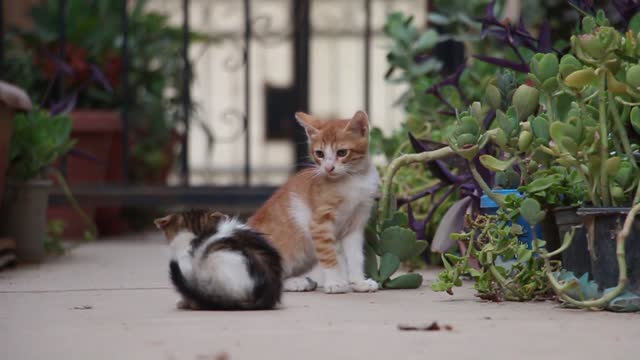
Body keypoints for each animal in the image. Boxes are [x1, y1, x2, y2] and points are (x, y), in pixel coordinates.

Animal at [249, 111, 380, 294]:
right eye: (320, 154)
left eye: (342, 152)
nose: (328, 168)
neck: (353, 180)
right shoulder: (320, 223)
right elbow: (329, 255)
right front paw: (335, 282)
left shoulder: (355, 223)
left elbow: (355, 256)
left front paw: (358, 282)